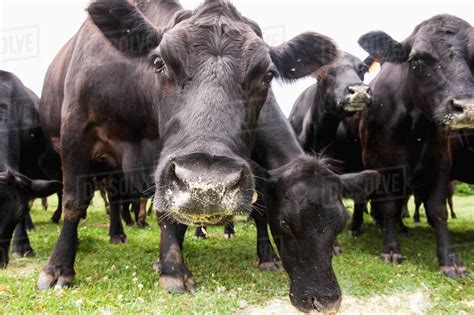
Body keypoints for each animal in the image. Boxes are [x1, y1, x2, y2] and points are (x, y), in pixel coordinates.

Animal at [39, 0, 338, 292]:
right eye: (159, 62)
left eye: (268, 75)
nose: (208, 186)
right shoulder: (76, 130)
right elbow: (74, 201)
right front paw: (58, 268)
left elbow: (172, 212)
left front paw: (172, 268)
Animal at [360, 14, 474, 278]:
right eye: (417, 60)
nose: (467, 108)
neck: (415, 128)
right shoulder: (382, 163)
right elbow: (390, 205)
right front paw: (391, 250)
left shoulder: (441, 162)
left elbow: (438, 209)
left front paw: (450, 260)